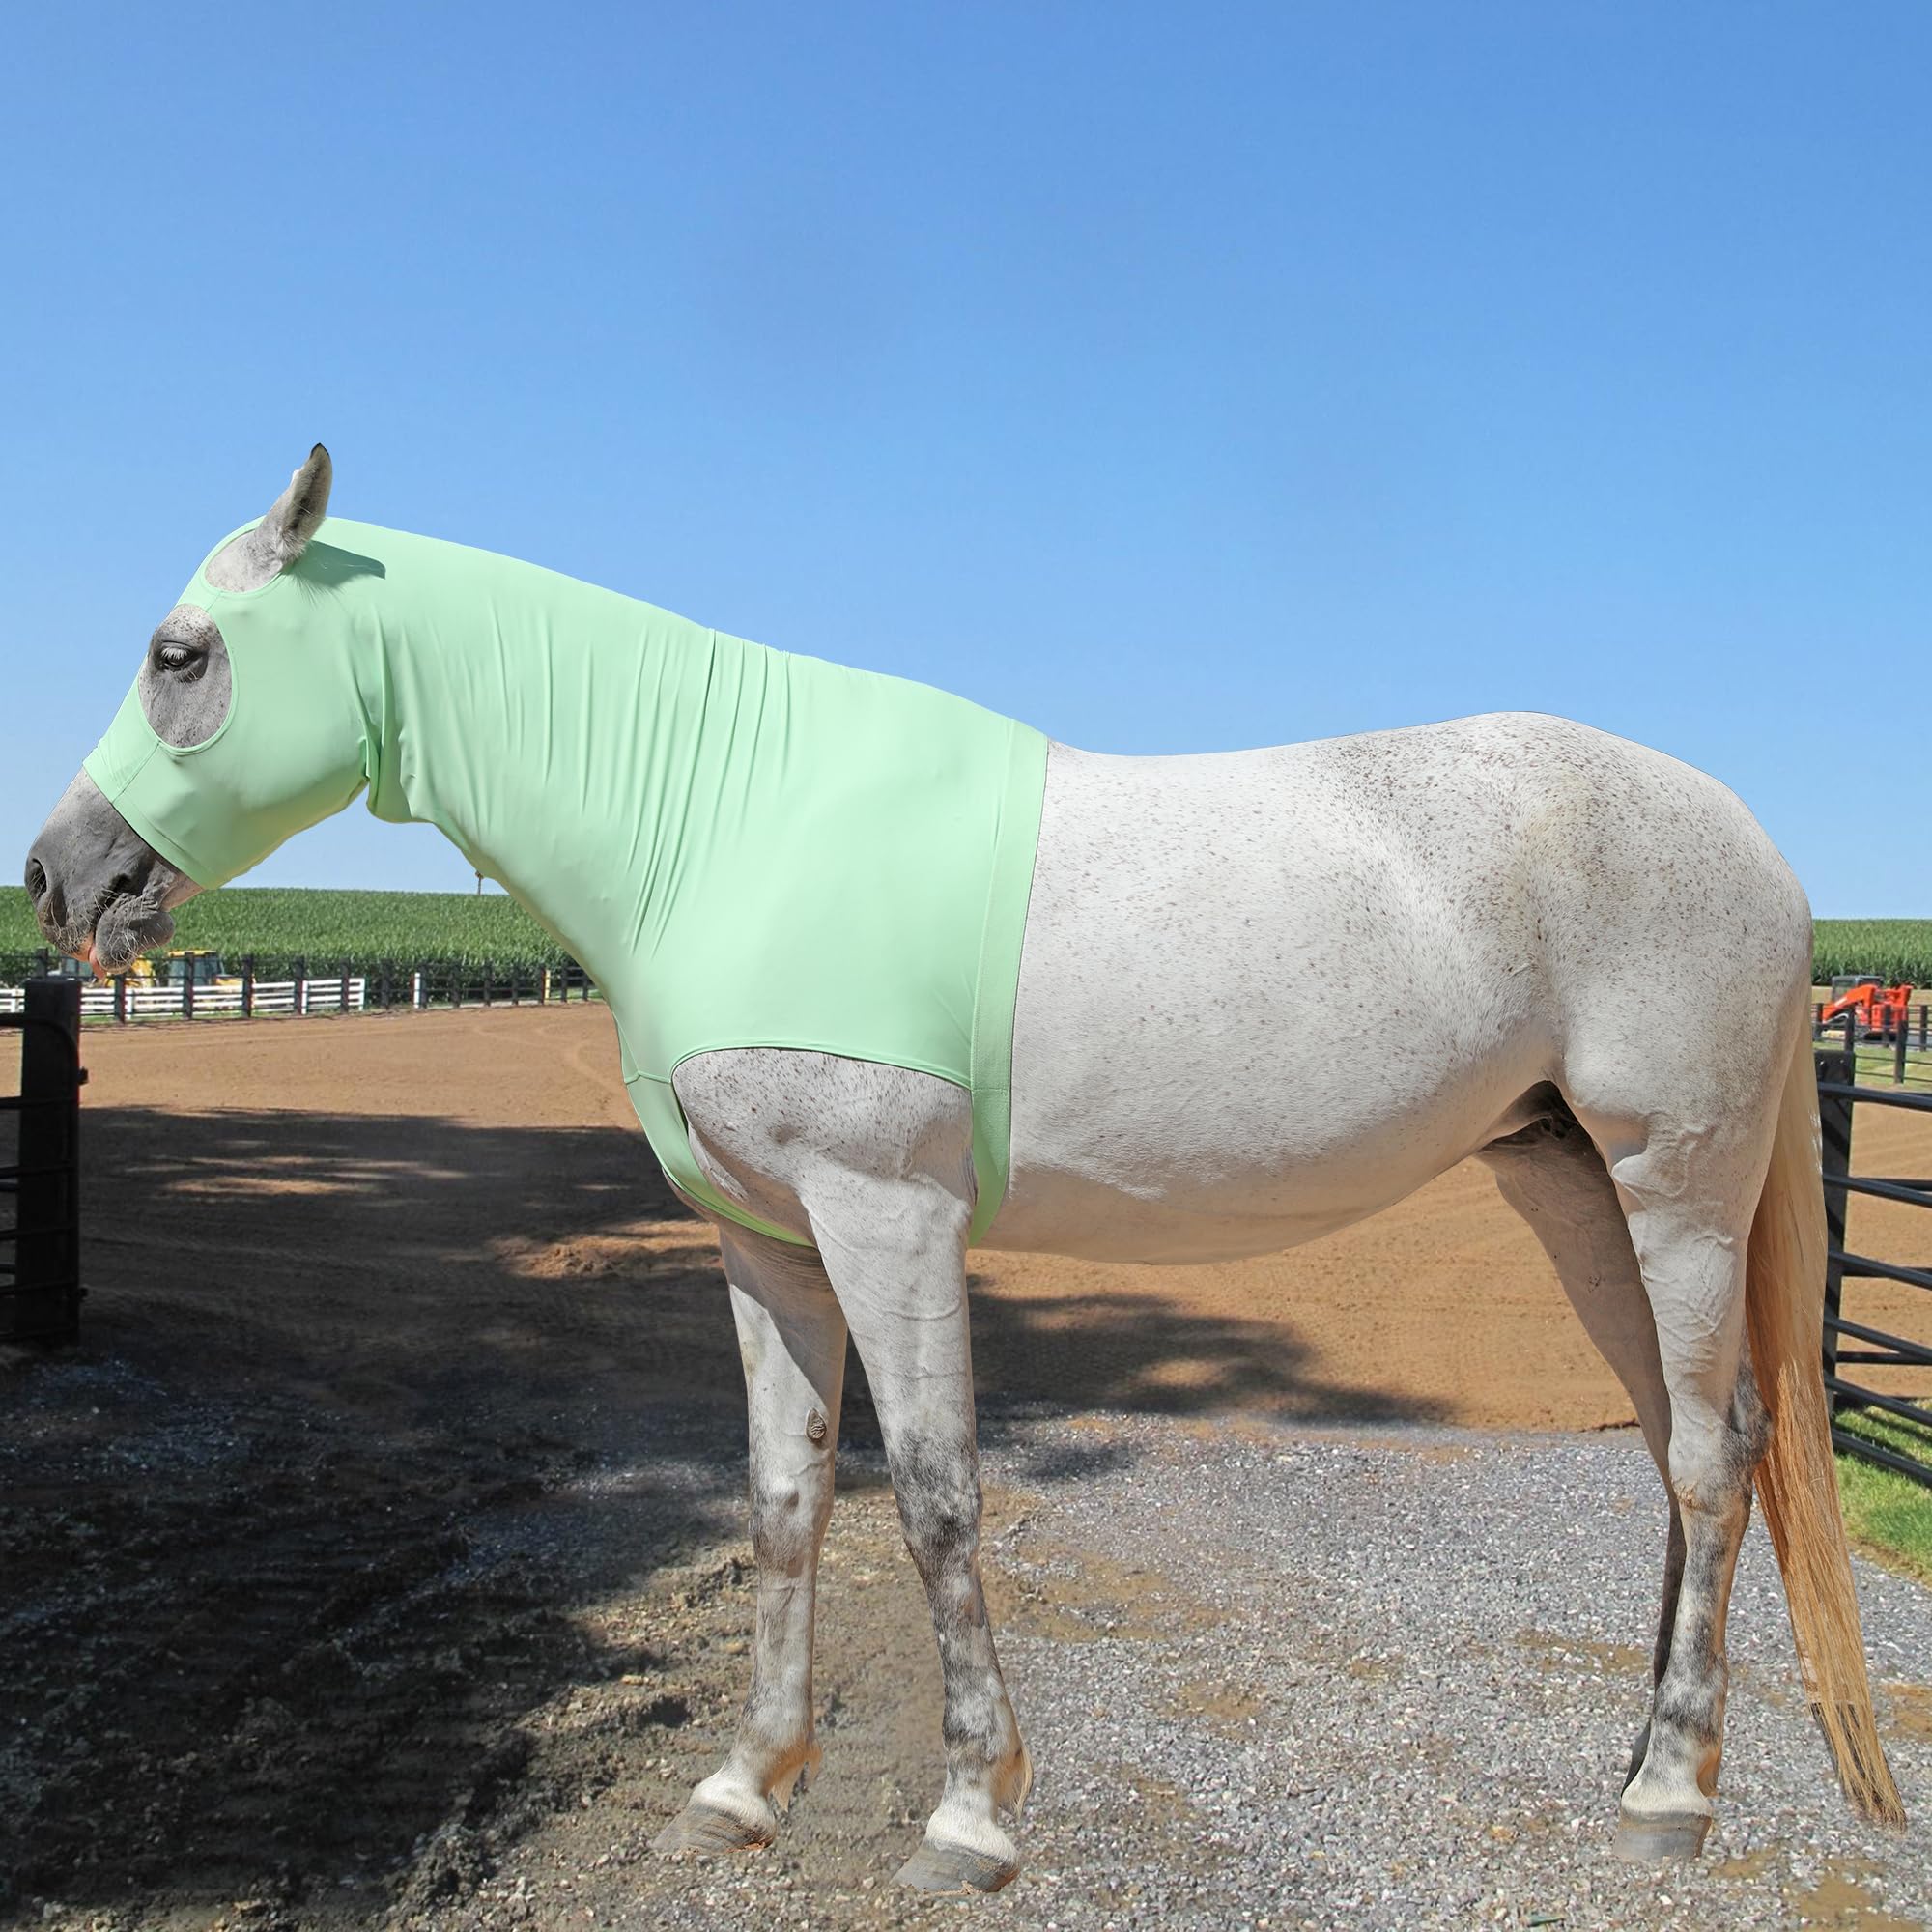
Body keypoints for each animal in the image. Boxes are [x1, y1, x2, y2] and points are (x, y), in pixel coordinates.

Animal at [25, 445, 1903, 1895]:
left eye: (180, 653)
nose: (62, 878)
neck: (724, 820)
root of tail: (1757, 846)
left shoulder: (889, 1220)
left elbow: (932, 1495)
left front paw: (968, 1821)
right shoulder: (766, 1243)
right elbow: (783, 1498)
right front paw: (743, 1788)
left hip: (1672, 1188)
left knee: (1715, 1461)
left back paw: (1668, 1796)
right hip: (1571, 1190)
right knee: (1683, 1451)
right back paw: (1646, 1756)